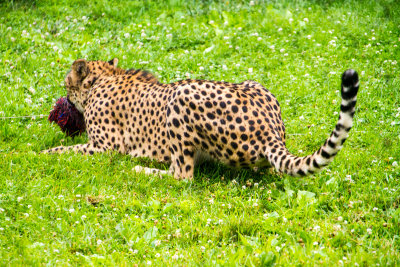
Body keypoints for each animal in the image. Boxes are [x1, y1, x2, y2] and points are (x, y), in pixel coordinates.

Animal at [43, 58, 360, 180]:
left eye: (66, 84)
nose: (64, 100)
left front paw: (39, 153)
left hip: (181, 95)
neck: (104, 79)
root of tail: (271, 133)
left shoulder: (104, 147)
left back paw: (142, 169)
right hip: (253, 83)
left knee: (182, 175)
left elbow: (62, 150)